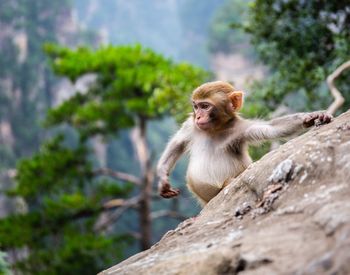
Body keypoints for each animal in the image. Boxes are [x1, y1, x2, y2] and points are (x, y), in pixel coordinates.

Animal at [157, 81, 332, 206]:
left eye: (205, 106)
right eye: (196, 106)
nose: (199, 116)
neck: (215, 129)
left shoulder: (242, 129)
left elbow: (271, 129)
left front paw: (310, 117)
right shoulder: (191, 125)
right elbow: (177, 143)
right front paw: (163, 179)